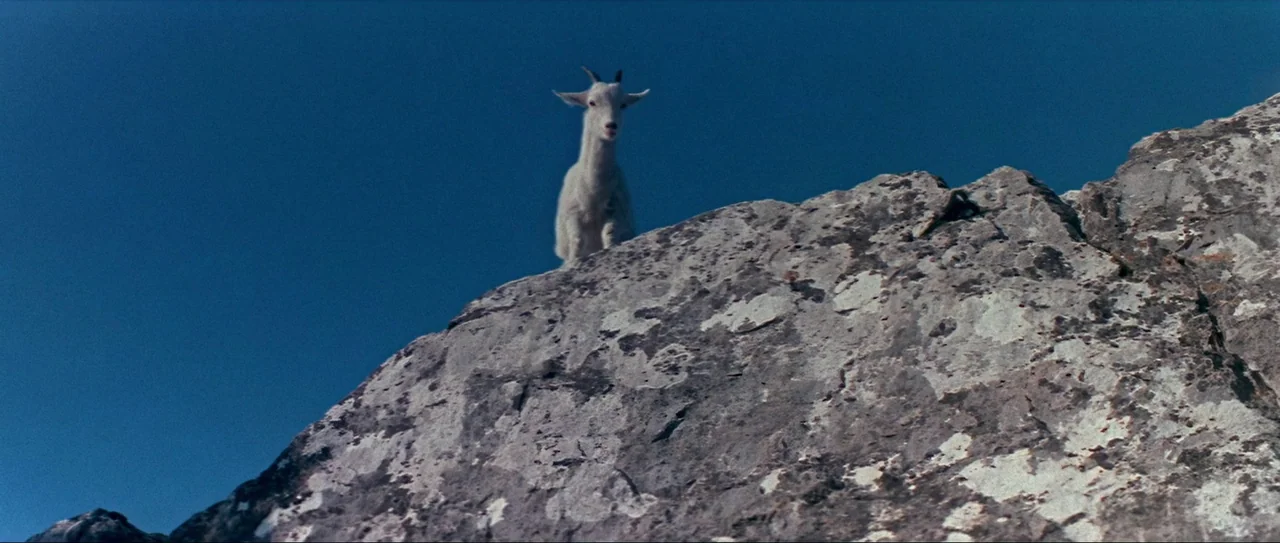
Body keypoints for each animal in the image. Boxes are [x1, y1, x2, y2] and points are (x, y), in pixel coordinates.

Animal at [552, 66, 650, 267]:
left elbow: (609, 236)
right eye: (592, 102)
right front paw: (574, 262)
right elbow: (576, 241)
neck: (592, 192)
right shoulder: (572, 215)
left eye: (623, 104)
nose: (611, 126)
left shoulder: (615, 214)